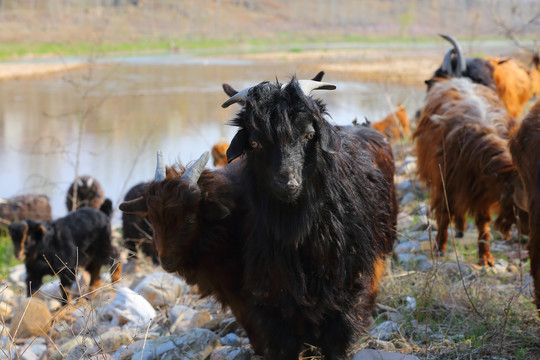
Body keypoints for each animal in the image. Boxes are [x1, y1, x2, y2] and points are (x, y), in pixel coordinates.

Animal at [221, 77, 394, 358]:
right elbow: (284, 342)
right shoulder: (274, 293)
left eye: (310, 135)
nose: (287, 182)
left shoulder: (345, 282)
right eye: (255, 143)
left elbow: (338, 335)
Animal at [414, 77, 520, 266]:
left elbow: (483, 222)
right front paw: (439, 248)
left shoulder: (481, 192)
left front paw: (485, 256)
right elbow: (444, 215)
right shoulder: (446, 183)